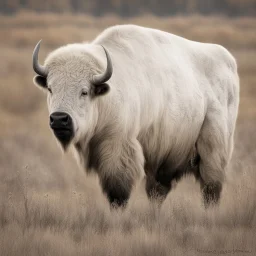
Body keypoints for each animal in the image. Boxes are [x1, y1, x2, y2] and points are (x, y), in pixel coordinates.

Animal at [32, 25, 240, 207]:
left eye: (84, 91)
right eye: (50, 88)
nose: (59, 118)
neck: (106, 98)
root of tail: (229, 62)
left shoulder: (118, 150)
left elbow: (118, 195)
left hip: (213, 150)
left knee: (210, 190)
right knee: (157, 193)